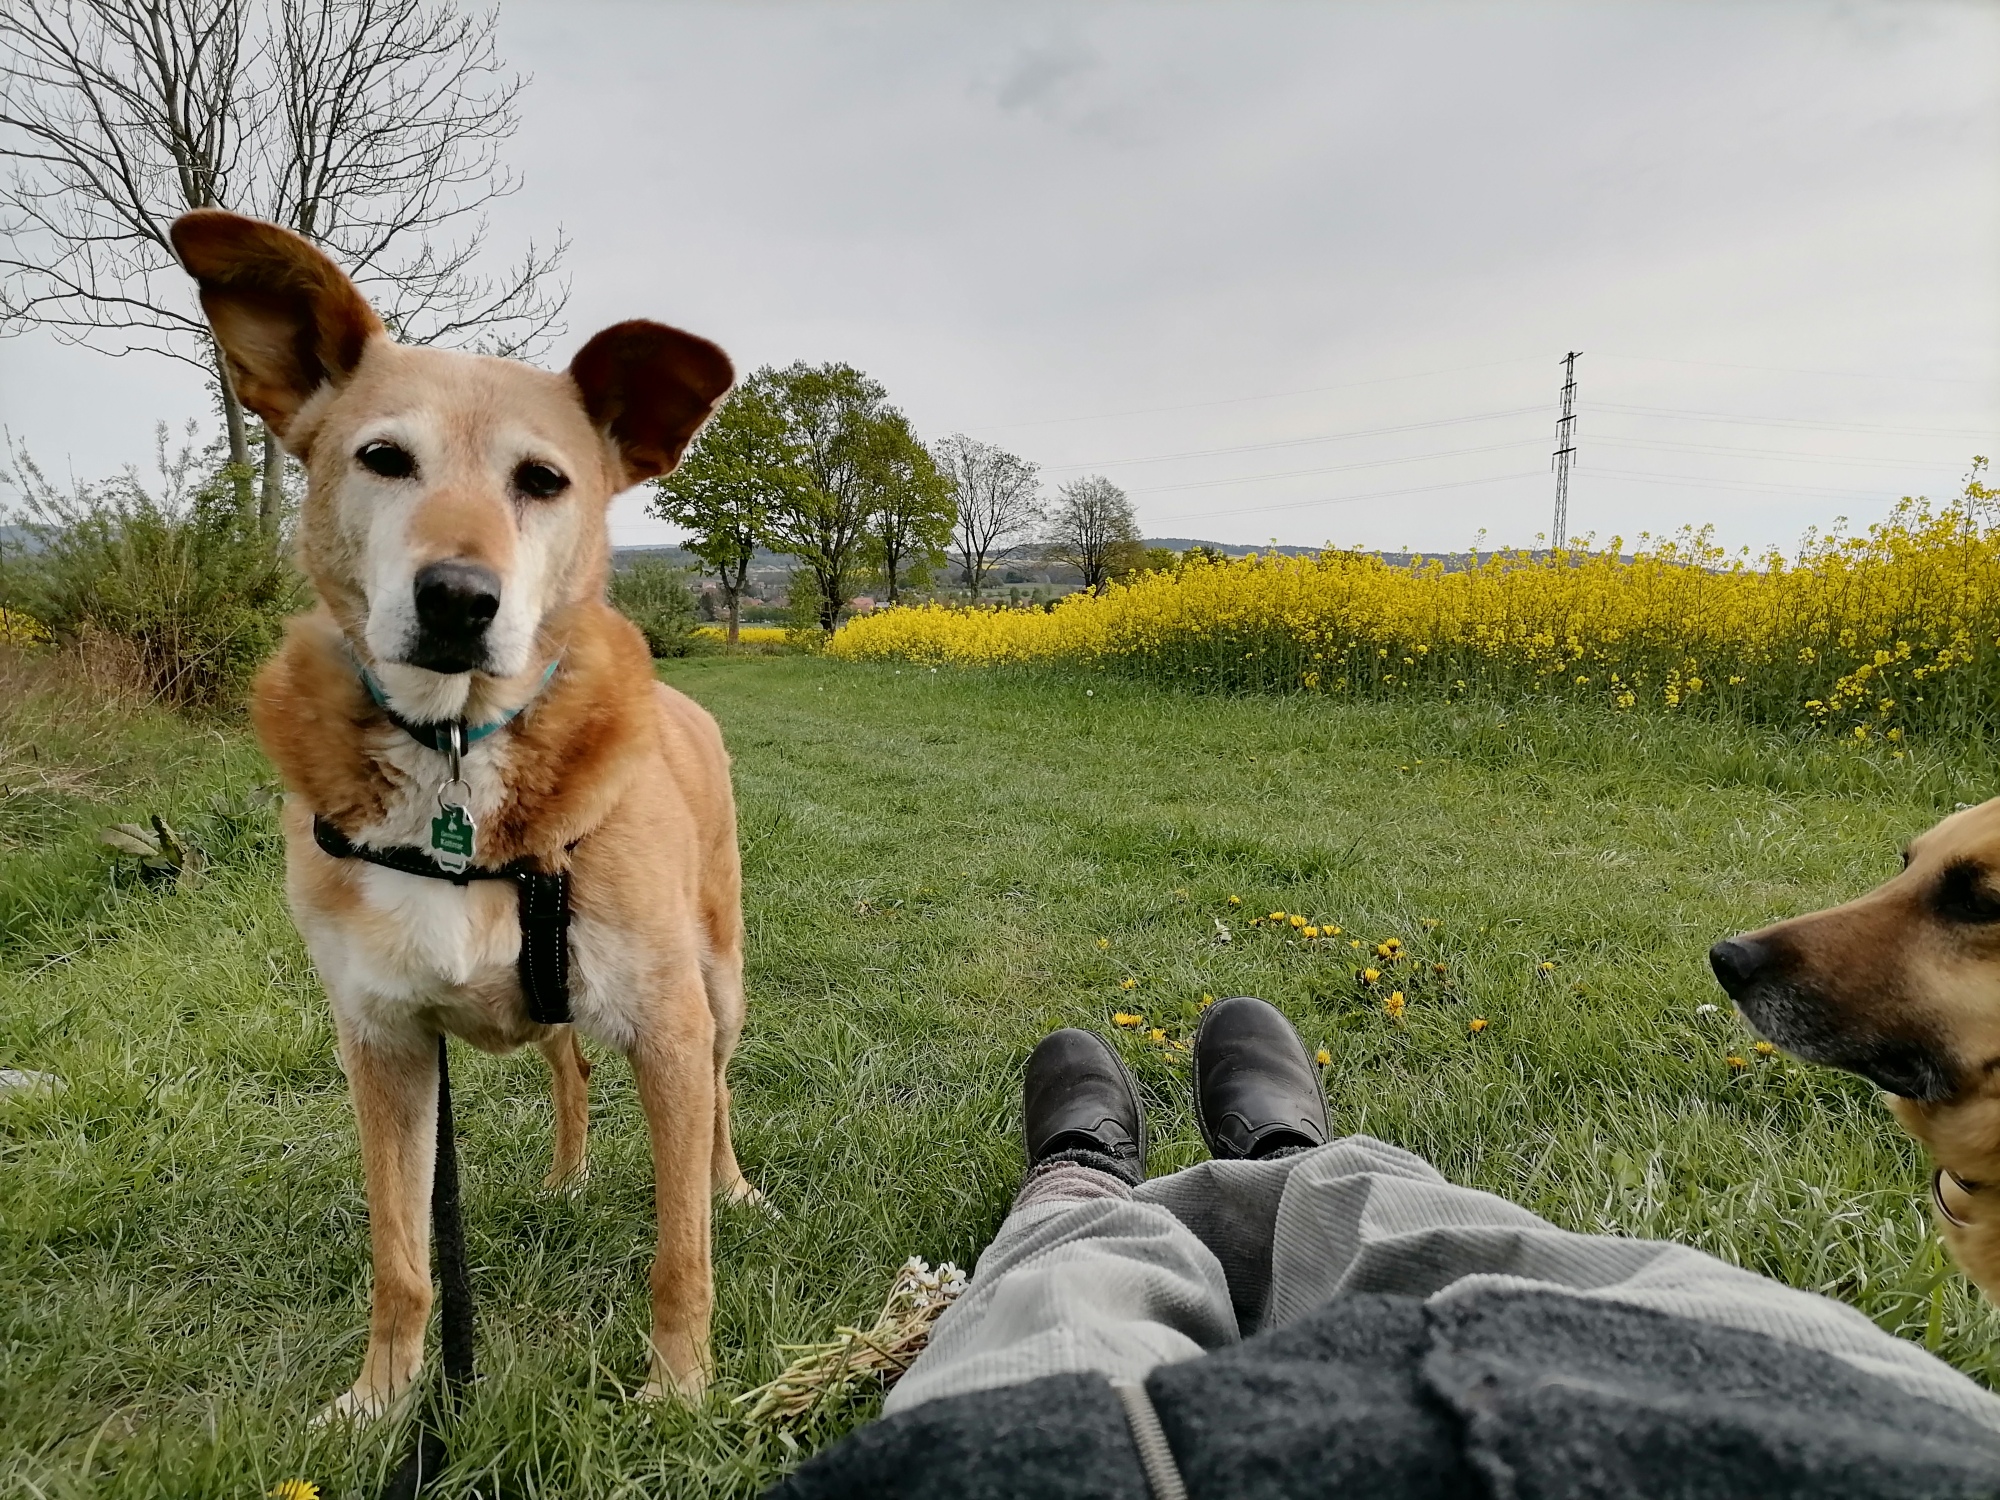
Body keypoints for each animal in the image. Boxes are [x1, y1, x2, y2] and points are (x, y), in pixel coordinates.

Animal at [168, 212, 752, 1424]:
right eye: (384, 458)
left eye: (543, 480)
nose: (458, 599)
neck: (453, 757)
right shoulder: (385, 1043)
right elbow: (402, 1258)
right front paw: (384, 1402)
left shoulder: (669, 1026)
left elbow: (680, 1249)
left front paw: (679, 1391)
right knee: (568, 1066)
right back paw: (568, 1176)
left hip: (720, 981)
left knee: (720, 1101)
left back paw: (735, 1186)